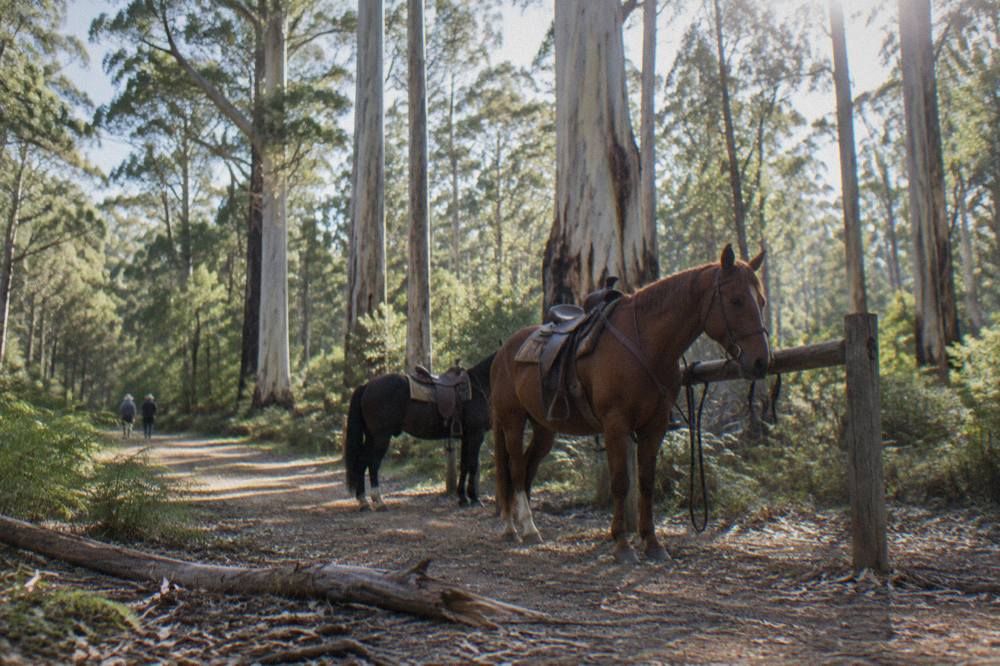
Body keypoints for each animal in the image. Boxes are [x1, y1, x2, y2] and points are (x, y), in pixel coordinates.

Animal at [343, 353, 495, 510]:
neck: (477, 387)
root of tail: (366, 385)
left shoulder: (466, 437)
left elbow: (464, 465)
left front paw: (463, 498)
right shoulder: (476, 434)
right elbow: (473, 465)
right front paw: (475, 499)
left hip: (371, 437)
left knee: (361, 464)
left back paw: (363, 501)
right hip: (381, 437)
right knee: (373, 464)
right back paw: (378, 501)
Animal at [490, 244, 770, 562]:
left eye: (761, 301)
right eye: (736, 300)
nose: (761, 361)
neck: (645, 344)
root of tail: (502, 352)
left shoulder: (654, 426)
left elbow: (646, 482)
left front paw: (652, 543)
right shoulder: (616, 424)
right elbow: (621, 482)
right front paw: (622, 544)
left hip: (543, 428)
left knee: (526, 468)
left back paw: (522, 526)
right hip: (512, 420)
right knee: (513, 468)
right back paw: (521, 528)